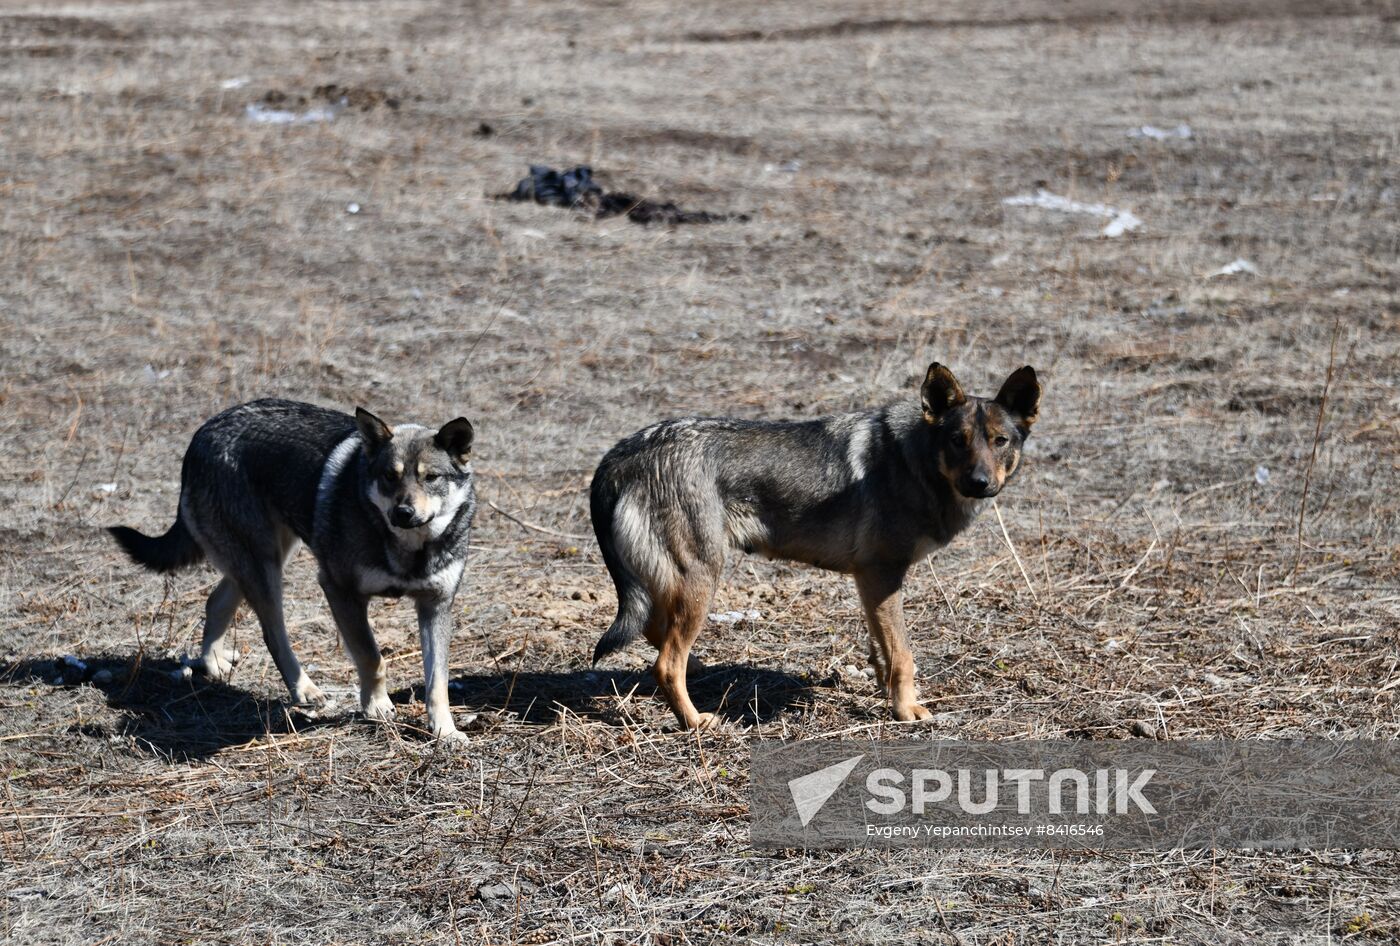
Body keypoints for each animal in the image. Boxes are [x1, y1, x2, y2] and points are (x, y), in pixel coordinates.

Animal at [107, 394, 476, 744]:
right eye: (390, 477)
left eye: (431, 478)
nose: (403, 513)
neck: (408, 549)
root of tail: (203, 433)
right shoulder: (339, 590)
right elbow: (372, 658)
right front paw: (376, 707)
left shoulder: (436, 606)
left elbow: (437, 681)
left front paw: (445, 732)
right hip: (265, 569)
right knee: (273, 634)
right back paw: (304, 689)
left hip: (262, 560)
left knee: (216, 601)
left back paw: (213, 663)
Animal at [590, 361, 1041, 722]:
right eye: (958, 440)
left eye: (999, 441)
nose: (979, 483)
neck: (915, 462)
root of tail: (619, 455)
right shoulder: (882, 574)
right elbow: (904, 655)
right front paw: (906, 711)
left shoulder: (870, 583)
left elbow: (882, 649)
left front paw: (884, 693)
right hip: (702, 579)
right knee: (666, 663)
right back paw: (696, 721)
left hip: (676, 583)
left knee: (655, 632)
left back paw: (699, 670)